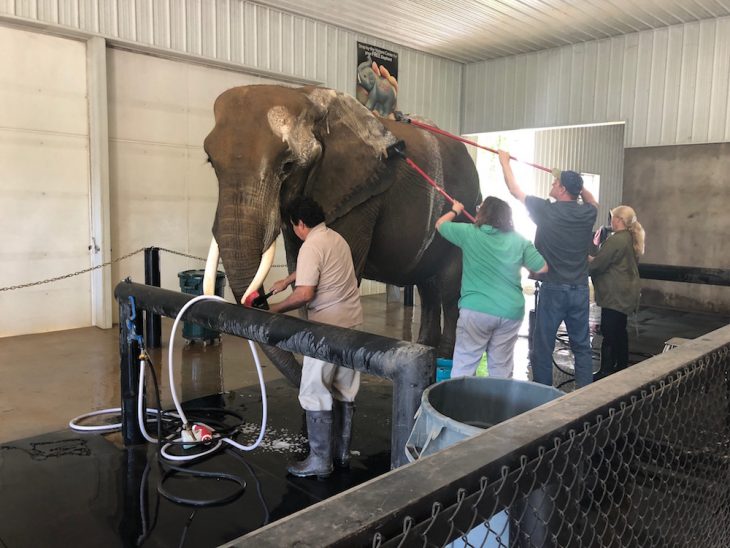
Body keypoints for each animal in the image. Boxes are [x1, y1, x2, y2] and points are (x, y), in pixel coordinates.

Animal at [202, 85, 480, 386]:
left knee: (450, 289)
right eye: (210, 162)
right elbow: (299, 273)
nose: (255, 301)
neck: (305, 96)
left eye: (288, 166)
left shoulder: (360, 199)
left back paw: (446, 360)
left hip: (464, 215)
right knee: (428, 284)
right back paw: (426, 348)